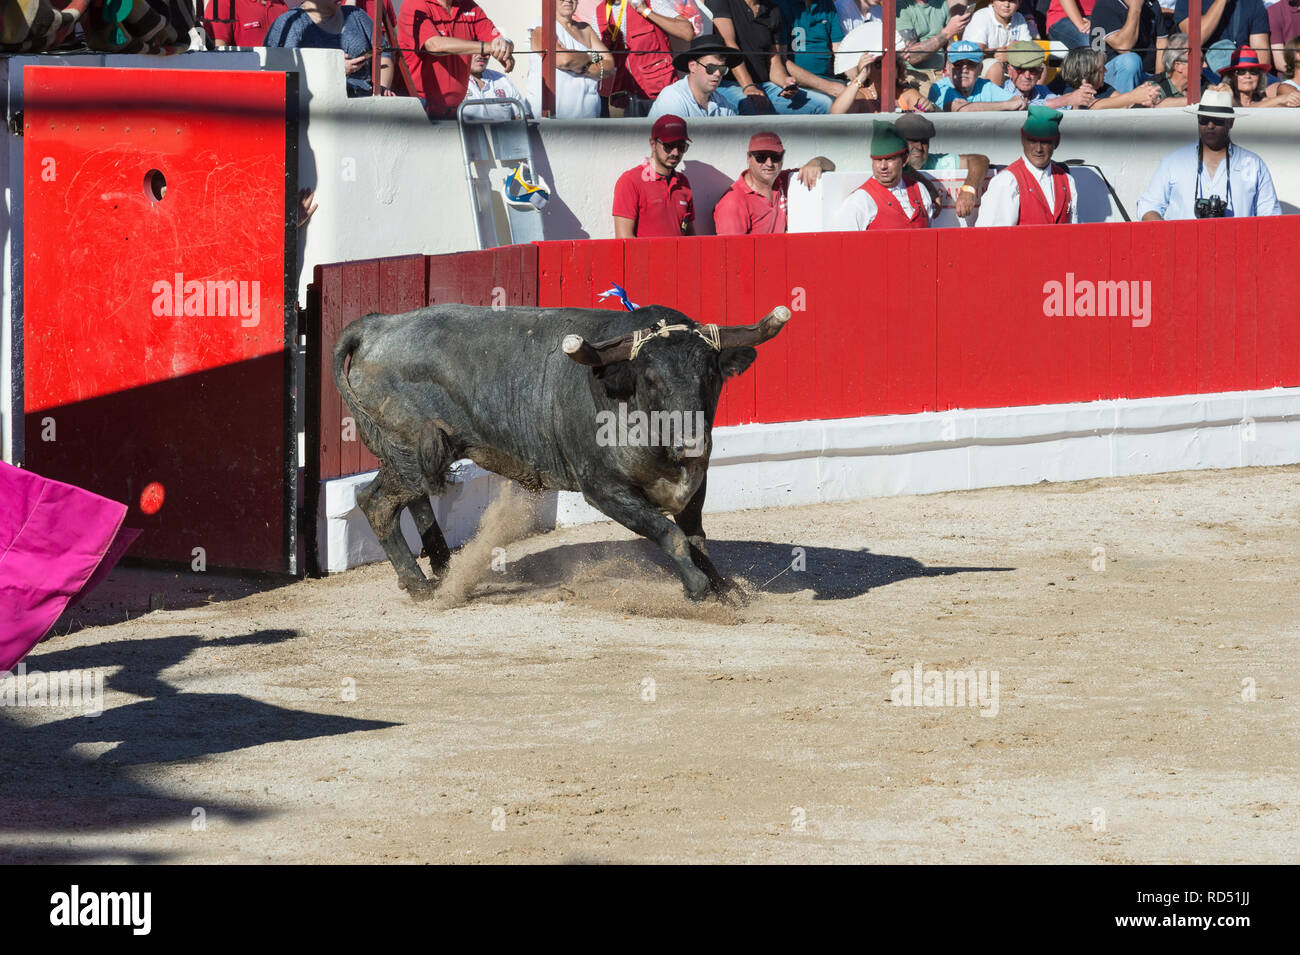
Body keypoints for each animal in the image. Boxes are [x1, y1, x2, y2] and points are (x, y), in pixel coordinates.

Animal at [330, 302, 790, 600]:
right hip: (407, 448)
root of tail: (377, 326)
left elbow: (696, 538)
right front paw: (697, 588)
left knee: (414, 498)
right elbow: (670, 534)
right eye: (651, 377)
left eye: (711, 374)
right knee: (376, 502)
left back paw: (444, 568)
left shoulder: (696, 481)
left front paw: (723, 587)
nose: (691, 441)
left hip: (418, 454)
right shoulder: (604, 490)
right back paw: (420, 585)